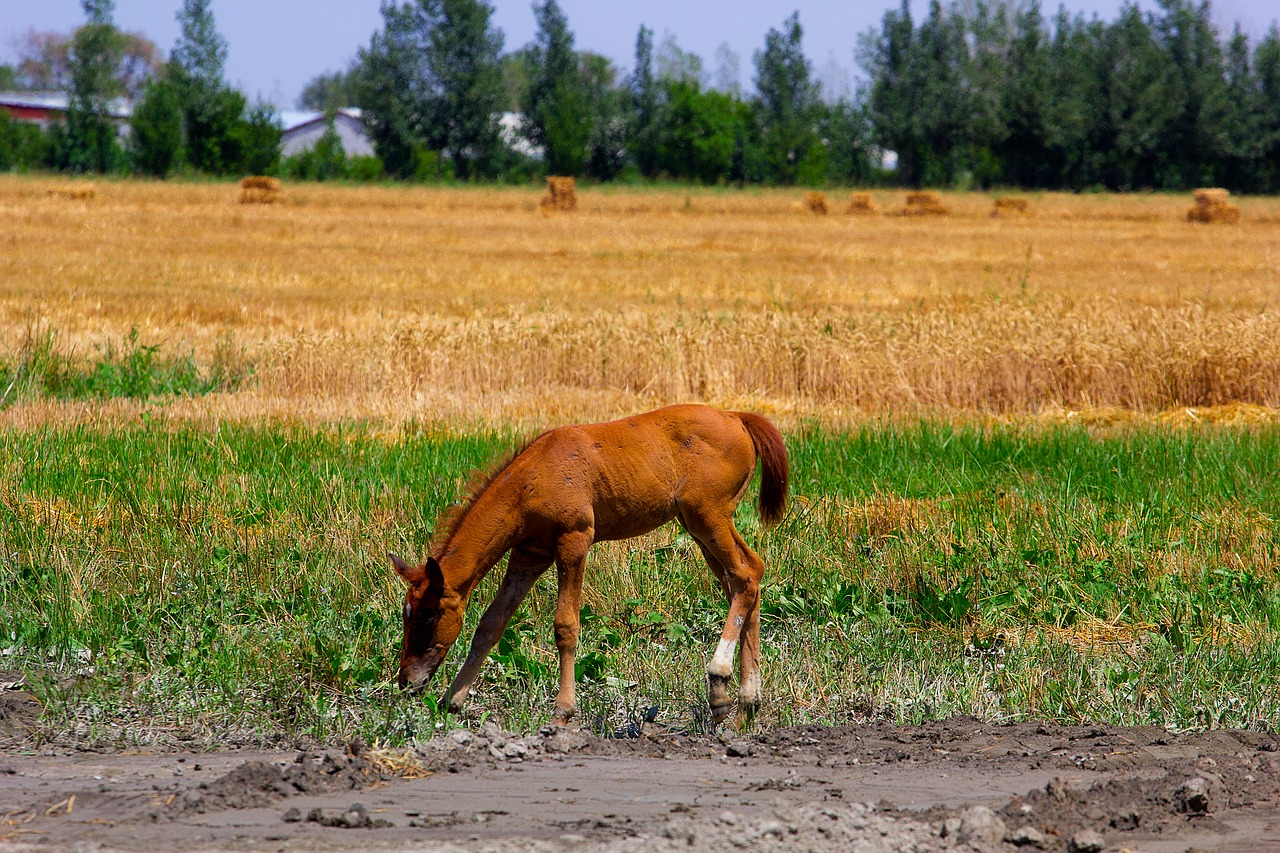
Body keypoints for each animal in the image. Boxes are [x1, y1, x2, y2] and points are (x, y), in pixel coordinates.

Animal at [389, 404, 788, 722]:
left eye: (427, 617)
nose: (406, 680)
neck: (531, 479)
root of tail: (736, 416)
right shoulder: (528, 555)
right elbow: (491, 623)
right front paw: (453, 700)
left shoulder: (574, 539)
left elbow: (565, 625)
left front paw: (564, 709)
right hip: (698, 526)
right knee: (748, 578)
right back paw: (745, 702)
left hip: (708, 516)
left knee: (744, 576)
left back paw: (719, 680)